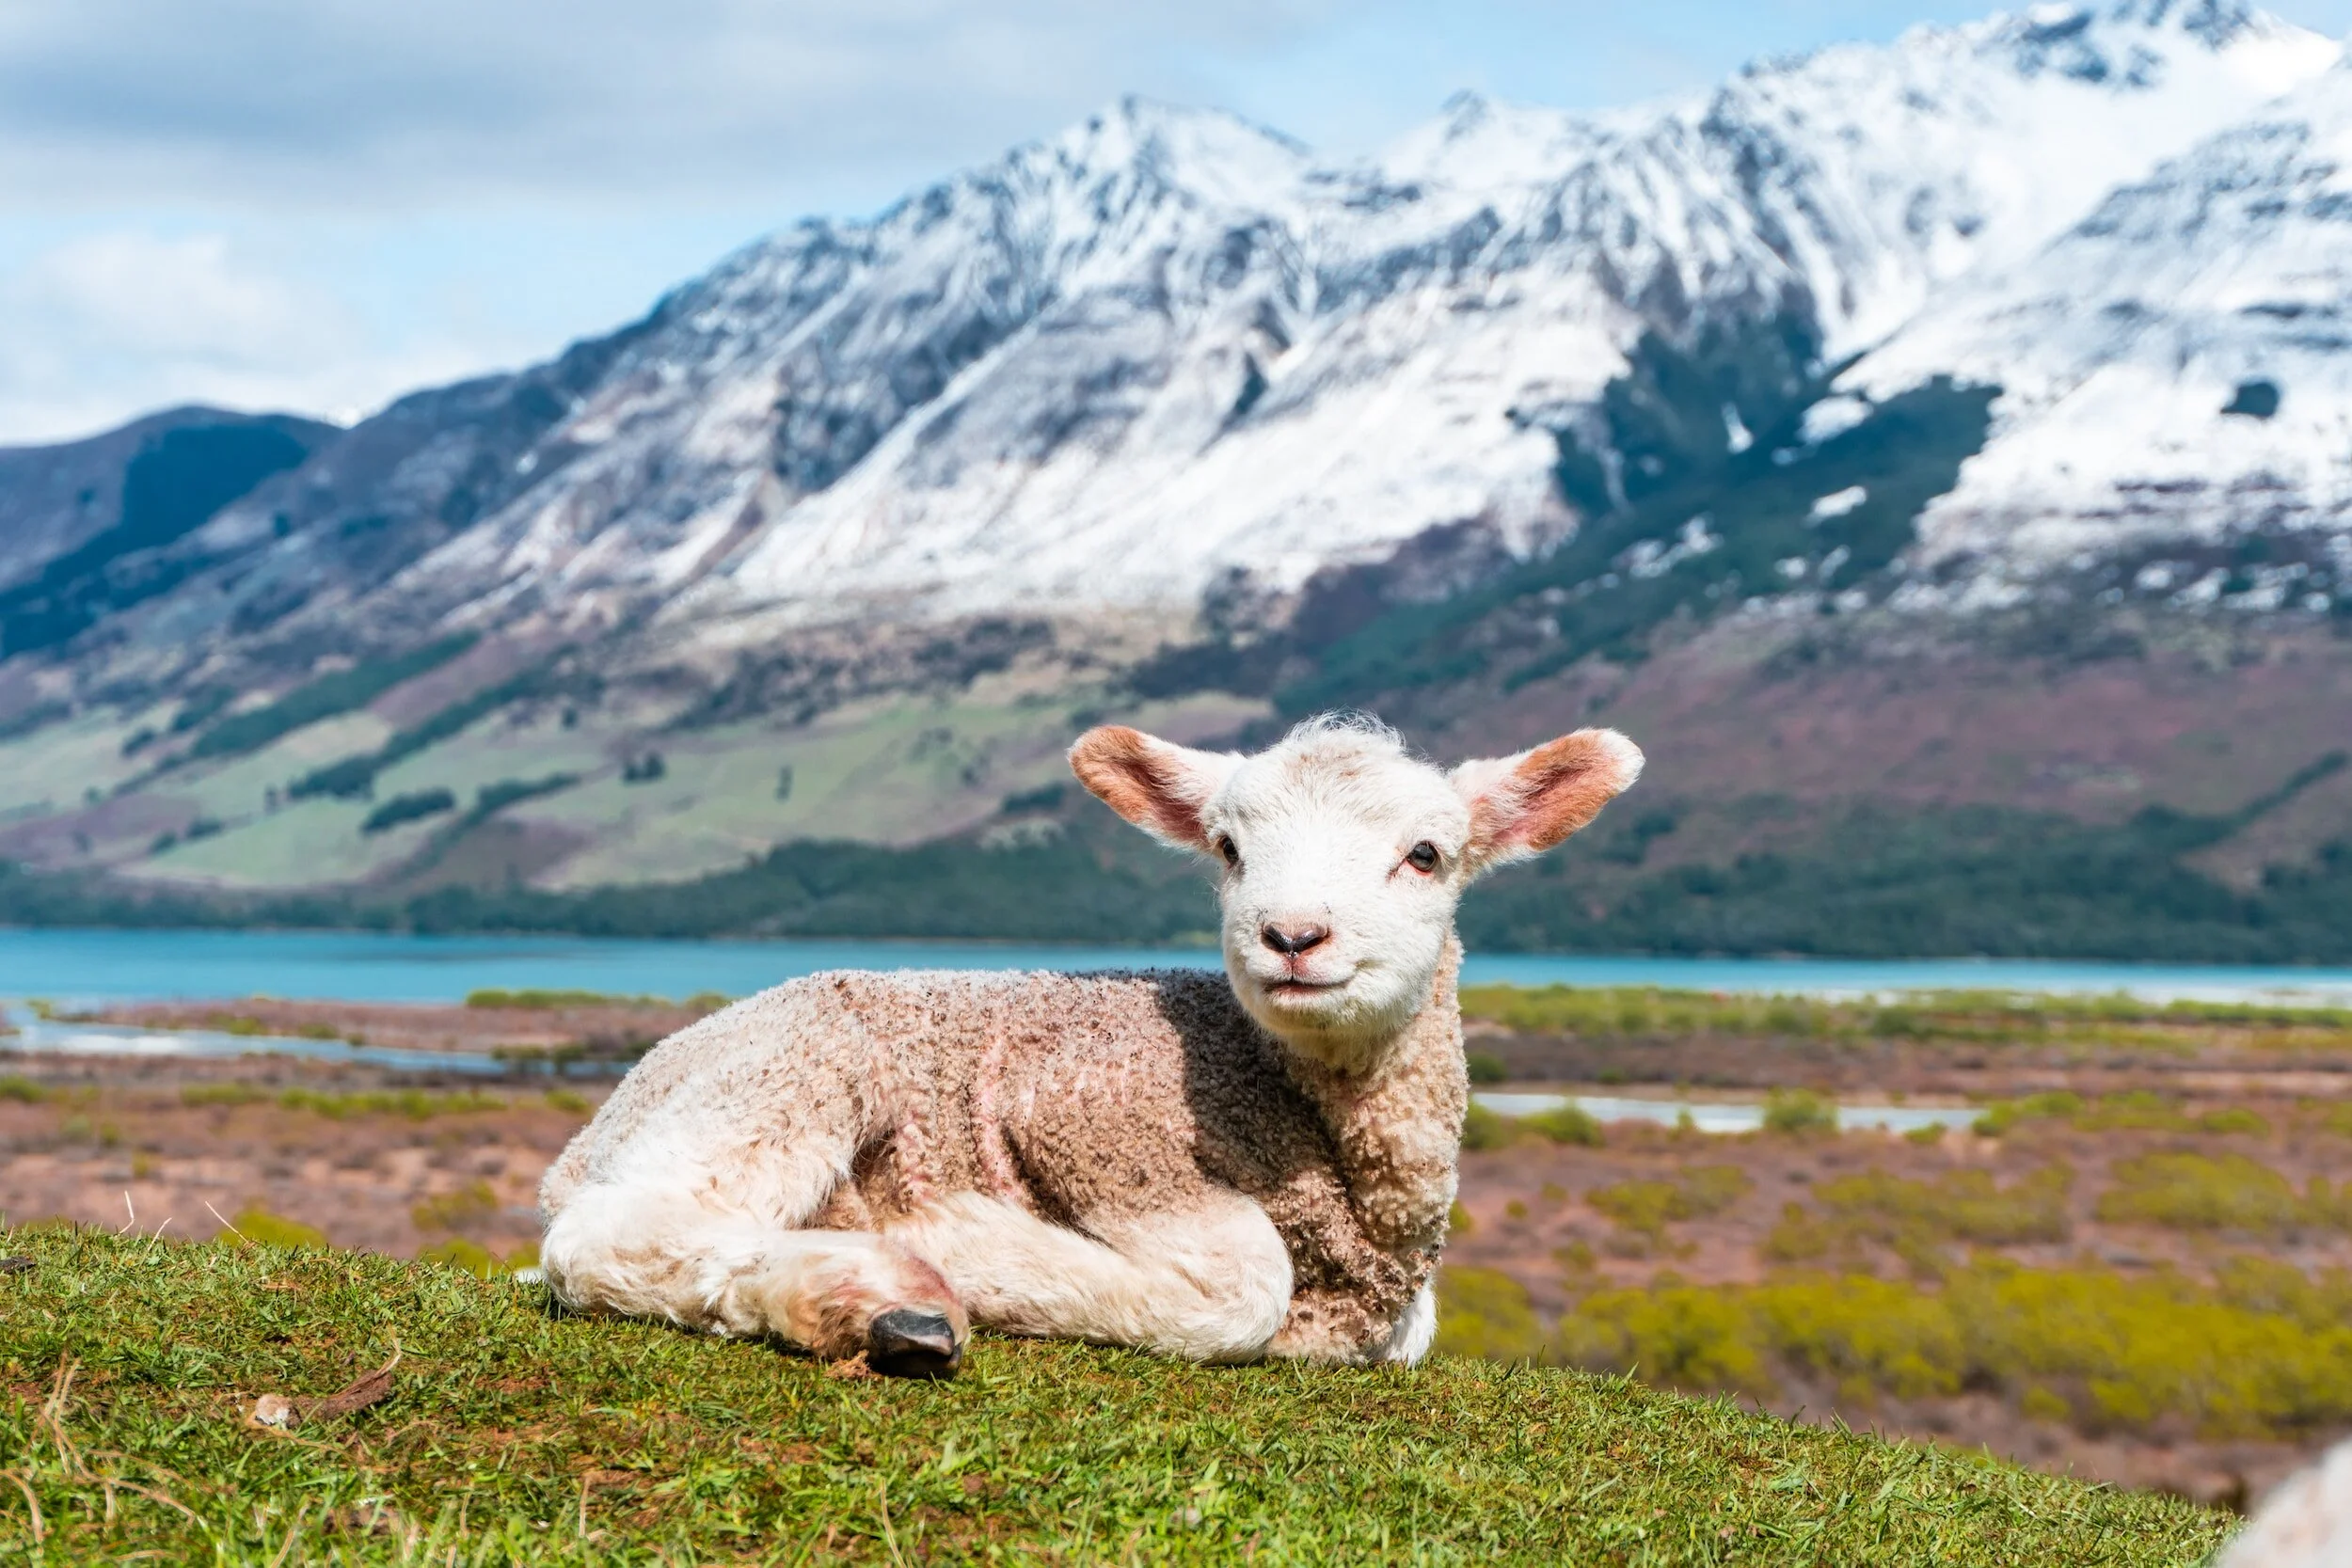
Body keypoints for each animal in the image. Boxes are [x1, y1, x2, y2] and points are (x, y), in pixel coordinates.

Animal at [537, 713, 1643, 1376]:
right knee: (606, 1236)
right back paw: (872, 1297)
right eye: (1228, 850)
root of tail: (587, 1136)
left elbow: (1407, 1327)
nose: (1291, 936)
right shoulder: (1088, 1114)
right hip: (790, 1071)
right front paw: (967, 1242)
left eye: (1425, 855)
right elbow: (1244, 1288)